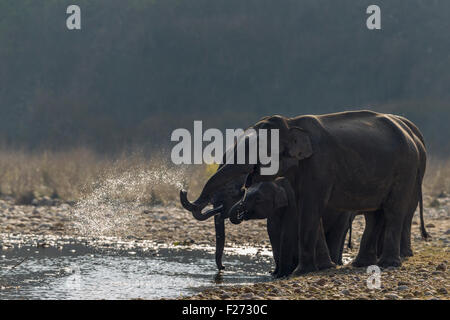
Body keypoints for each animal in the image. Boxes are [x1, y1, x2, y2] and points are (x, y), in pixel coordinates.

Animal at [179, 110, 428, 276]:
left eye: (261, 151)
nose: (183, 189)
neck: (291, 124)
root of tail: (410, 134)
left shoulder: (319, 164)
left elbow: (309, 207)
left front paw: (300, 272)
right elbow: (305, 209)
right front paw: (321, 268)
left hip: (406, 168)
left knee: (394, 210)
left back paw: (389, 263)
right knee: (375, 214)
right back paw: (361, 264)